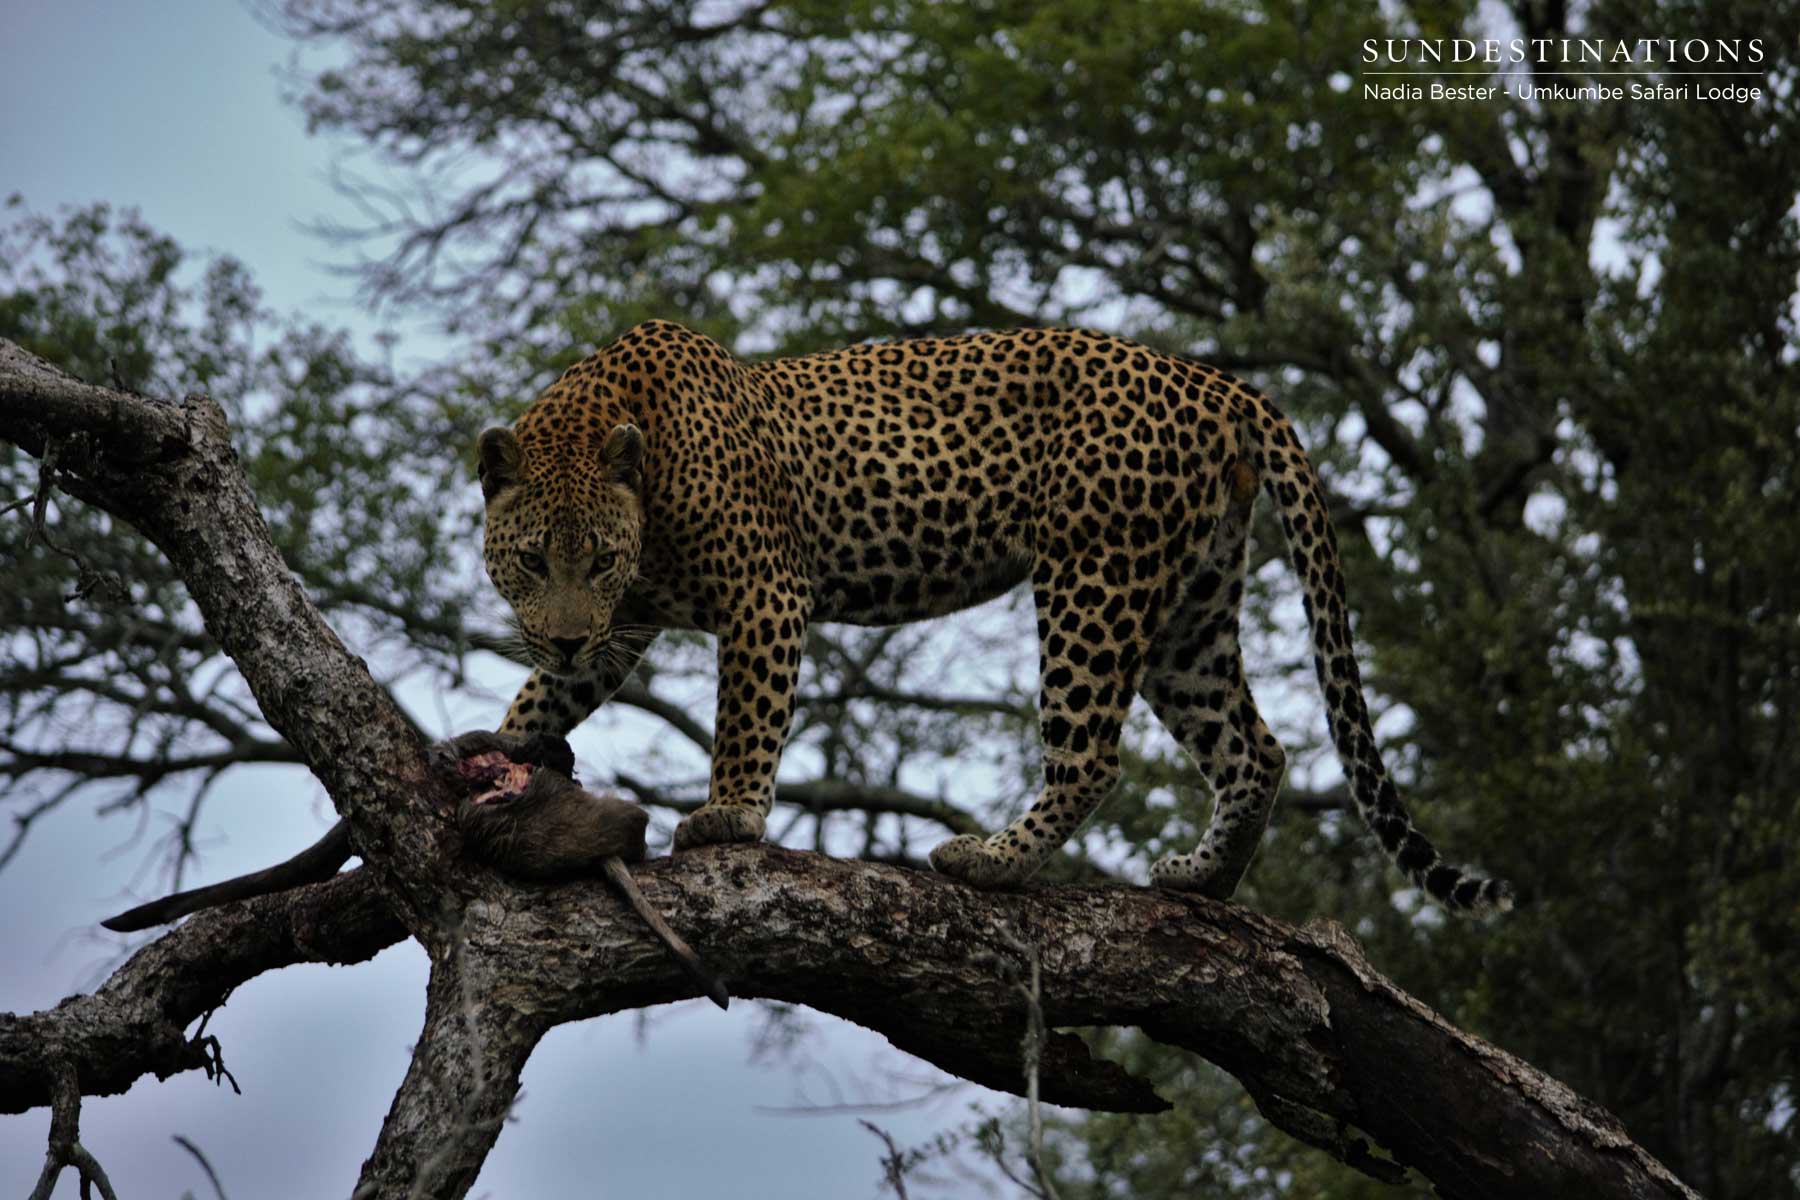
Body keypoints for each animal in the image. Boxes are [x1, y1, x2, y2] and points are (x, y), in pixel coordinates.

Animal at [471, 316, 1512, 910]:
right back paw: (1203, 879)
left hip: (1096, 575)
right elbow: (550, 693)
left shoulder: (764, 592)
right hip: (1194, 604)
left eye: (600, 557)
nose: (563, 629)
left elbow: (748, 715)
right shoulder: (620, 626)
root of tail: (1214, 378)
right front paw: (507, 743)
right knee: (1254, 750)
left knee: (1091, 757)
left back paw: (992, 861)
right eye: (533, 560)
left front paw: (729, 815)